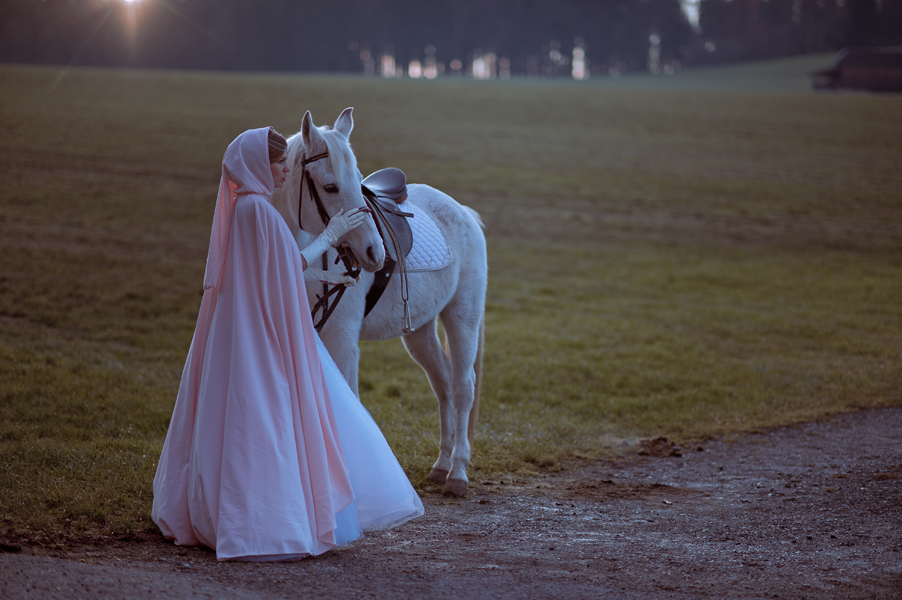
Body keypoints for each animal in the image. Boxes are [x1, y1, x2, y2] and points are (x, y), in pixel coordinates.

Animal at [270, 109, 488, 496]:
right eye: (330, 187)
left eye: (359, 183)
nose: (375, 251)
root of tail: (462, 211)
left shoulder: (342, 339)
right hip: (419, 331)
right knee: (444, 384)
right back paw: (441, 464)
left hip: (463, 319)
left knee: (463, 387)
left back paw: (458, 472)